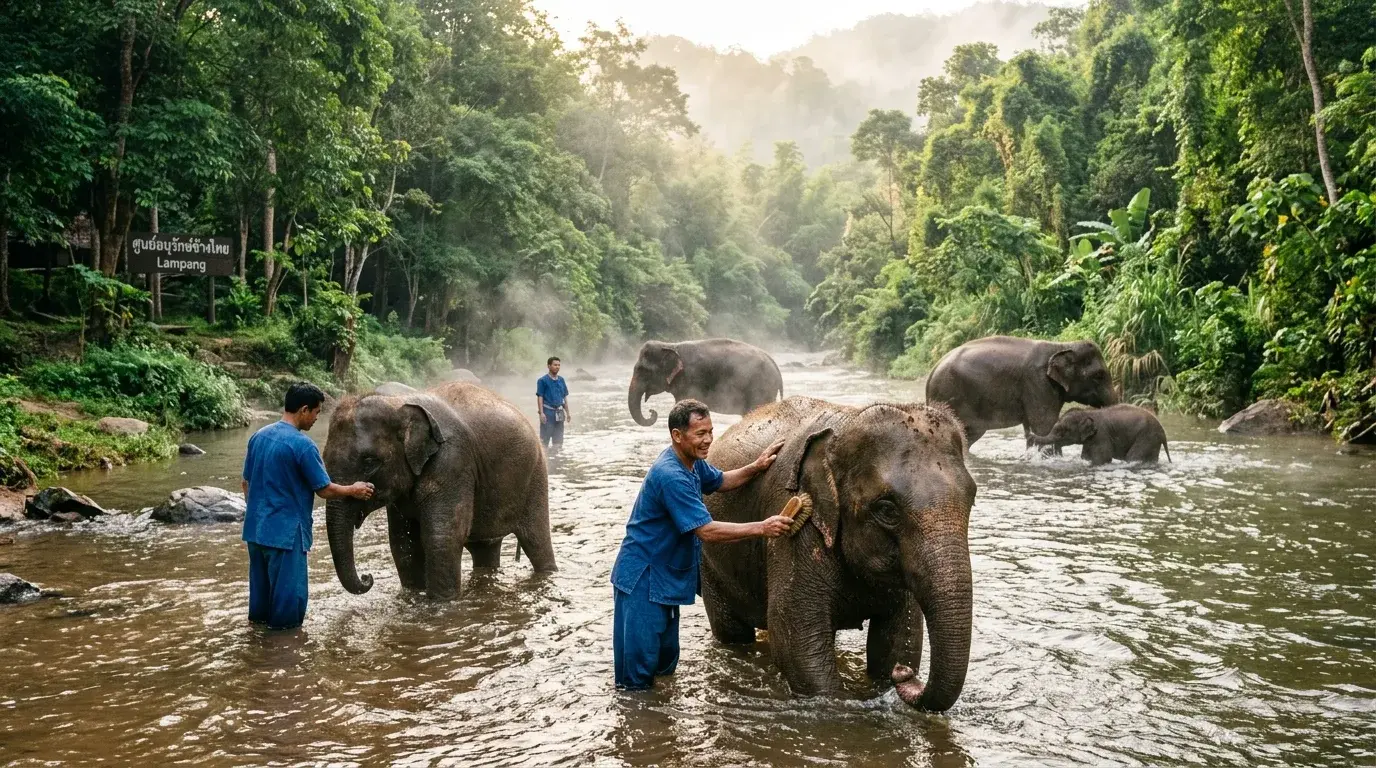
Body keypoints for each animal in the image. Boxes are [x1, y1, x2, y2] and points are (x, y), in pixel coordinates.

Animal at [322, 381, 556, 600]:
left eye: (370, 462)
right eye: (322, 460)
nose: (368, 577)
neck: (397, 403)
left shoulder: (452, 461)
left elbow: (442, 537)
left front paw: (440, 604)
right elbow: (403, 542)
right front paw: (414, 595)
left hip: (535, 476)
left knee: (536, 540)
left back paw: (547, 572)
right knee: (485, 549)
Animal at [628, 338, 783, 426]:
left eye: (643, 370)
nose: (652, 412)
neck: (671, 345)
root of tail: (775, 364)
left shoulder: (691, 380)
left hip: (761, 388)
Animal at [700, 396, 977, 712]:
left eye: (972, 499)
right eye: (887, 509)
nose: (904, 675)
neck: (847, 426)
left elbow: (899, 639)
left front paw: (891, 671)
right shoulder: (797, 523)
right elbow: (798, 645)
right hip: (708, 564)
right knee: (733, 634)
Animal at [1029, 404, 1171, 465]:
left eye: (1062, 431)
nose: (1030, 437)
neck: (1087, 413)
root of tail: (1164, 433)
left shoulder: (1101, 435)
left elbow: (1103, 458)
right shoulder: (1090, 439)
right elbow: (1085, 457)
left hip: (1147, 437)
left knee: (1132, 457)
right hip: (1152, 441)